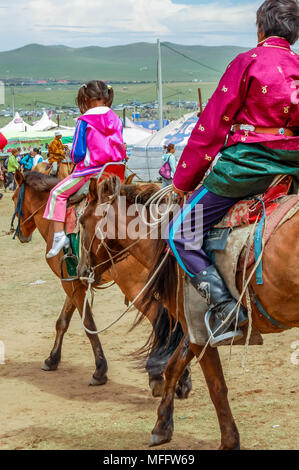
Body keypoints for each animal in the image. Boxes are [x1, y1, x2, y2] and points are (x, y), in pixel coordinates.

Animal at [11, 169, 192, 396]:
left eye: (13, 198)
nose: (21, 235)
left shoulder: (70, 284)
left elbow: (88, 325)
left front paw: (100, 370)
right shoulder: (75, 282)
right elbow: (63, 321)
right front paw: (52, 359)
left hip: (136, 289)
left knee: (163, 321)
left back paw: (160, 377)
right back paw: (181, 377)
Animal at [78, 174, 299, 450]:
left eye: (81, 222)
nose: (81, 271)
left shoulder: (200, 331)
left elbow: (216, 386)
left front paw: (229, 441)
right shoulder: (193, 326)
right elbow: (173, 366)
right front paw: (162, 426)